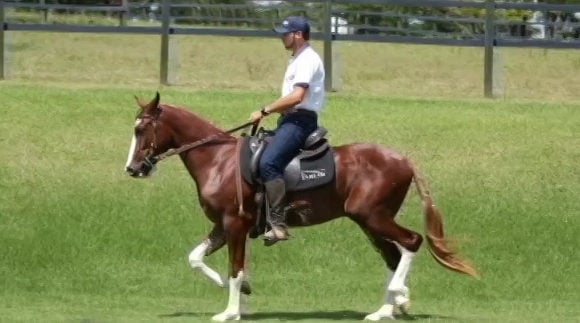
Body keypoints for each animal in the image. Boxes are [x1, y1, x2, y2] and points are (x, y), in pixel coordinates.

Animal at [124, 92, 478, 322]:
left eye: (140, 129)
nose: (133, 169)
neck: (218, 160)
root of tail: (403, 159)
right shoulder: (222, 226)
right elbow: (196, 258)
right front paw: (241, 293)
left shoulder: (234, 224)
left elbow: (235, 269)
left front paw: (230, 311)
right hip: (370, 223)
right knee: (394, 255)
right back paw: (386, 309)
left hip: (373, 217)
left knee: (411, 242)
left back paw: (399, 294)